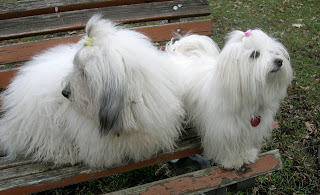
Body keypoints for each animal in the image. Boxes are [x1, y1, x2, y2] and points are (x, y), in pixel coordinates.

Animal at [166, 29, 294, 169]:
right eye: (255, 54)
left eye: (274, 52)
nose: (279, 61)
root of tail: (177, 52)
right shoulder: (223, 128)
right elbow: (227, 146)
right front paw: (232, 160)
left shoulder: (246, 129)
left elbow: (243, 143)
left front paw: (246, 155)